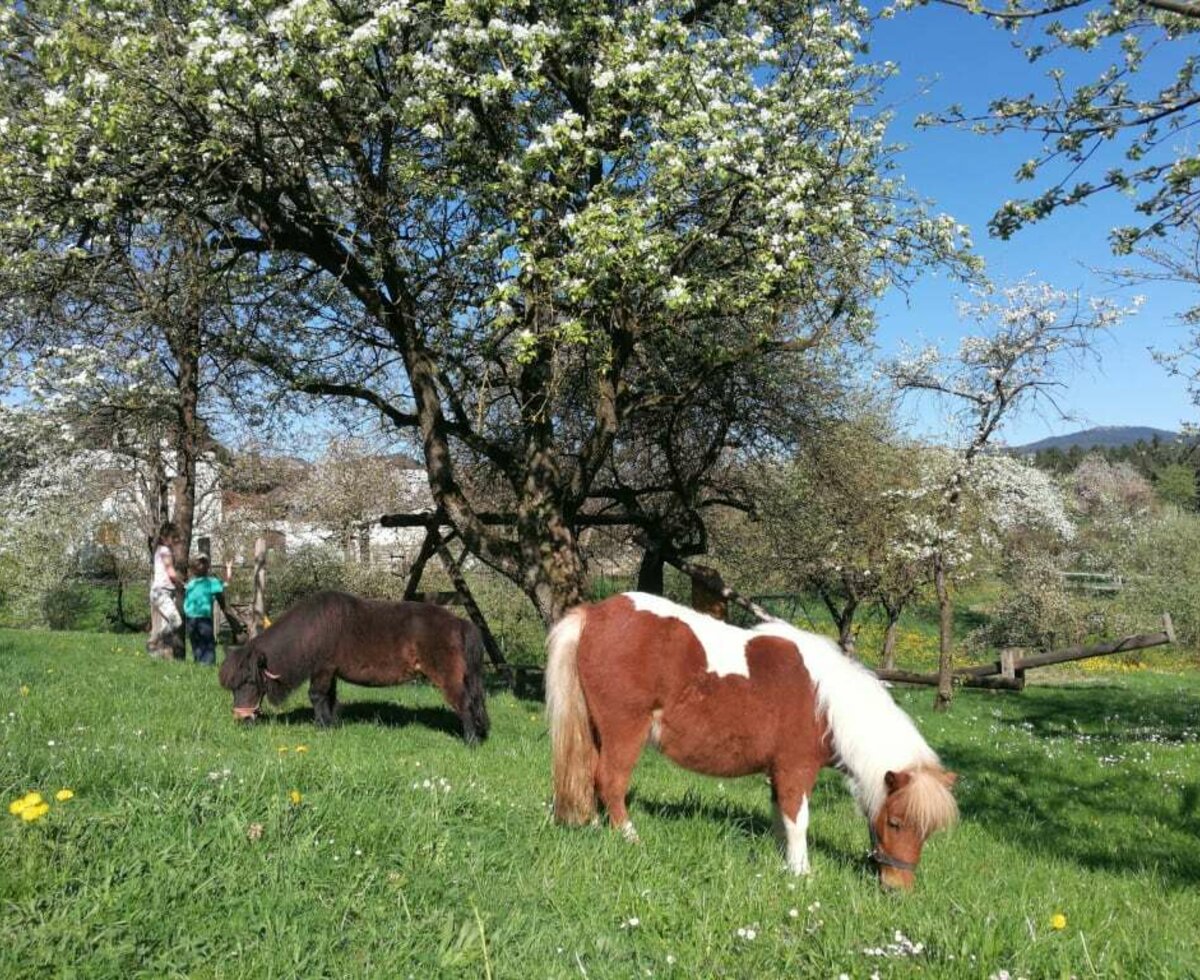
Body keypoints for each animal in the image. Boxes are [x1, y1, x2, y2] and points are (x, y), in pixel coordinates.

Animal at [220, 587, 487, 743]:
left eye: (249, 681)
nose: (241, 719)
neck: (311, 630)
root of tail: (459, 623)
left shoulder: (323, 669)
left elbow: (316, 696)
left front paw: (322, 727)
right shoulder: (330, 673)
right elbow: (328, 698)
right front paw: (331, 723)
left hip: (448, 677)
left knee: (464, 704)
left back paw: (471, 741)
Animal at [549, 587, 960, 887]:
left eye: (928, 831)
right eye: (896, 822)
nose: (897, 887)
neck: (825, 702)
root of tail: (595, 613)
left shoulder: (778, 772)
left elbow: (781, 818)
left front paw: (785, 861)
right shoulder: (796, 769)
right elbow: (798, 819)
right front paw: (802, 872)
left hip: (597, 731)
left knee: (589, 778)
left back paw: (594, 827)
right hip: (624, 732)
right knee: (610, 781)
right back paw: (630, 838)